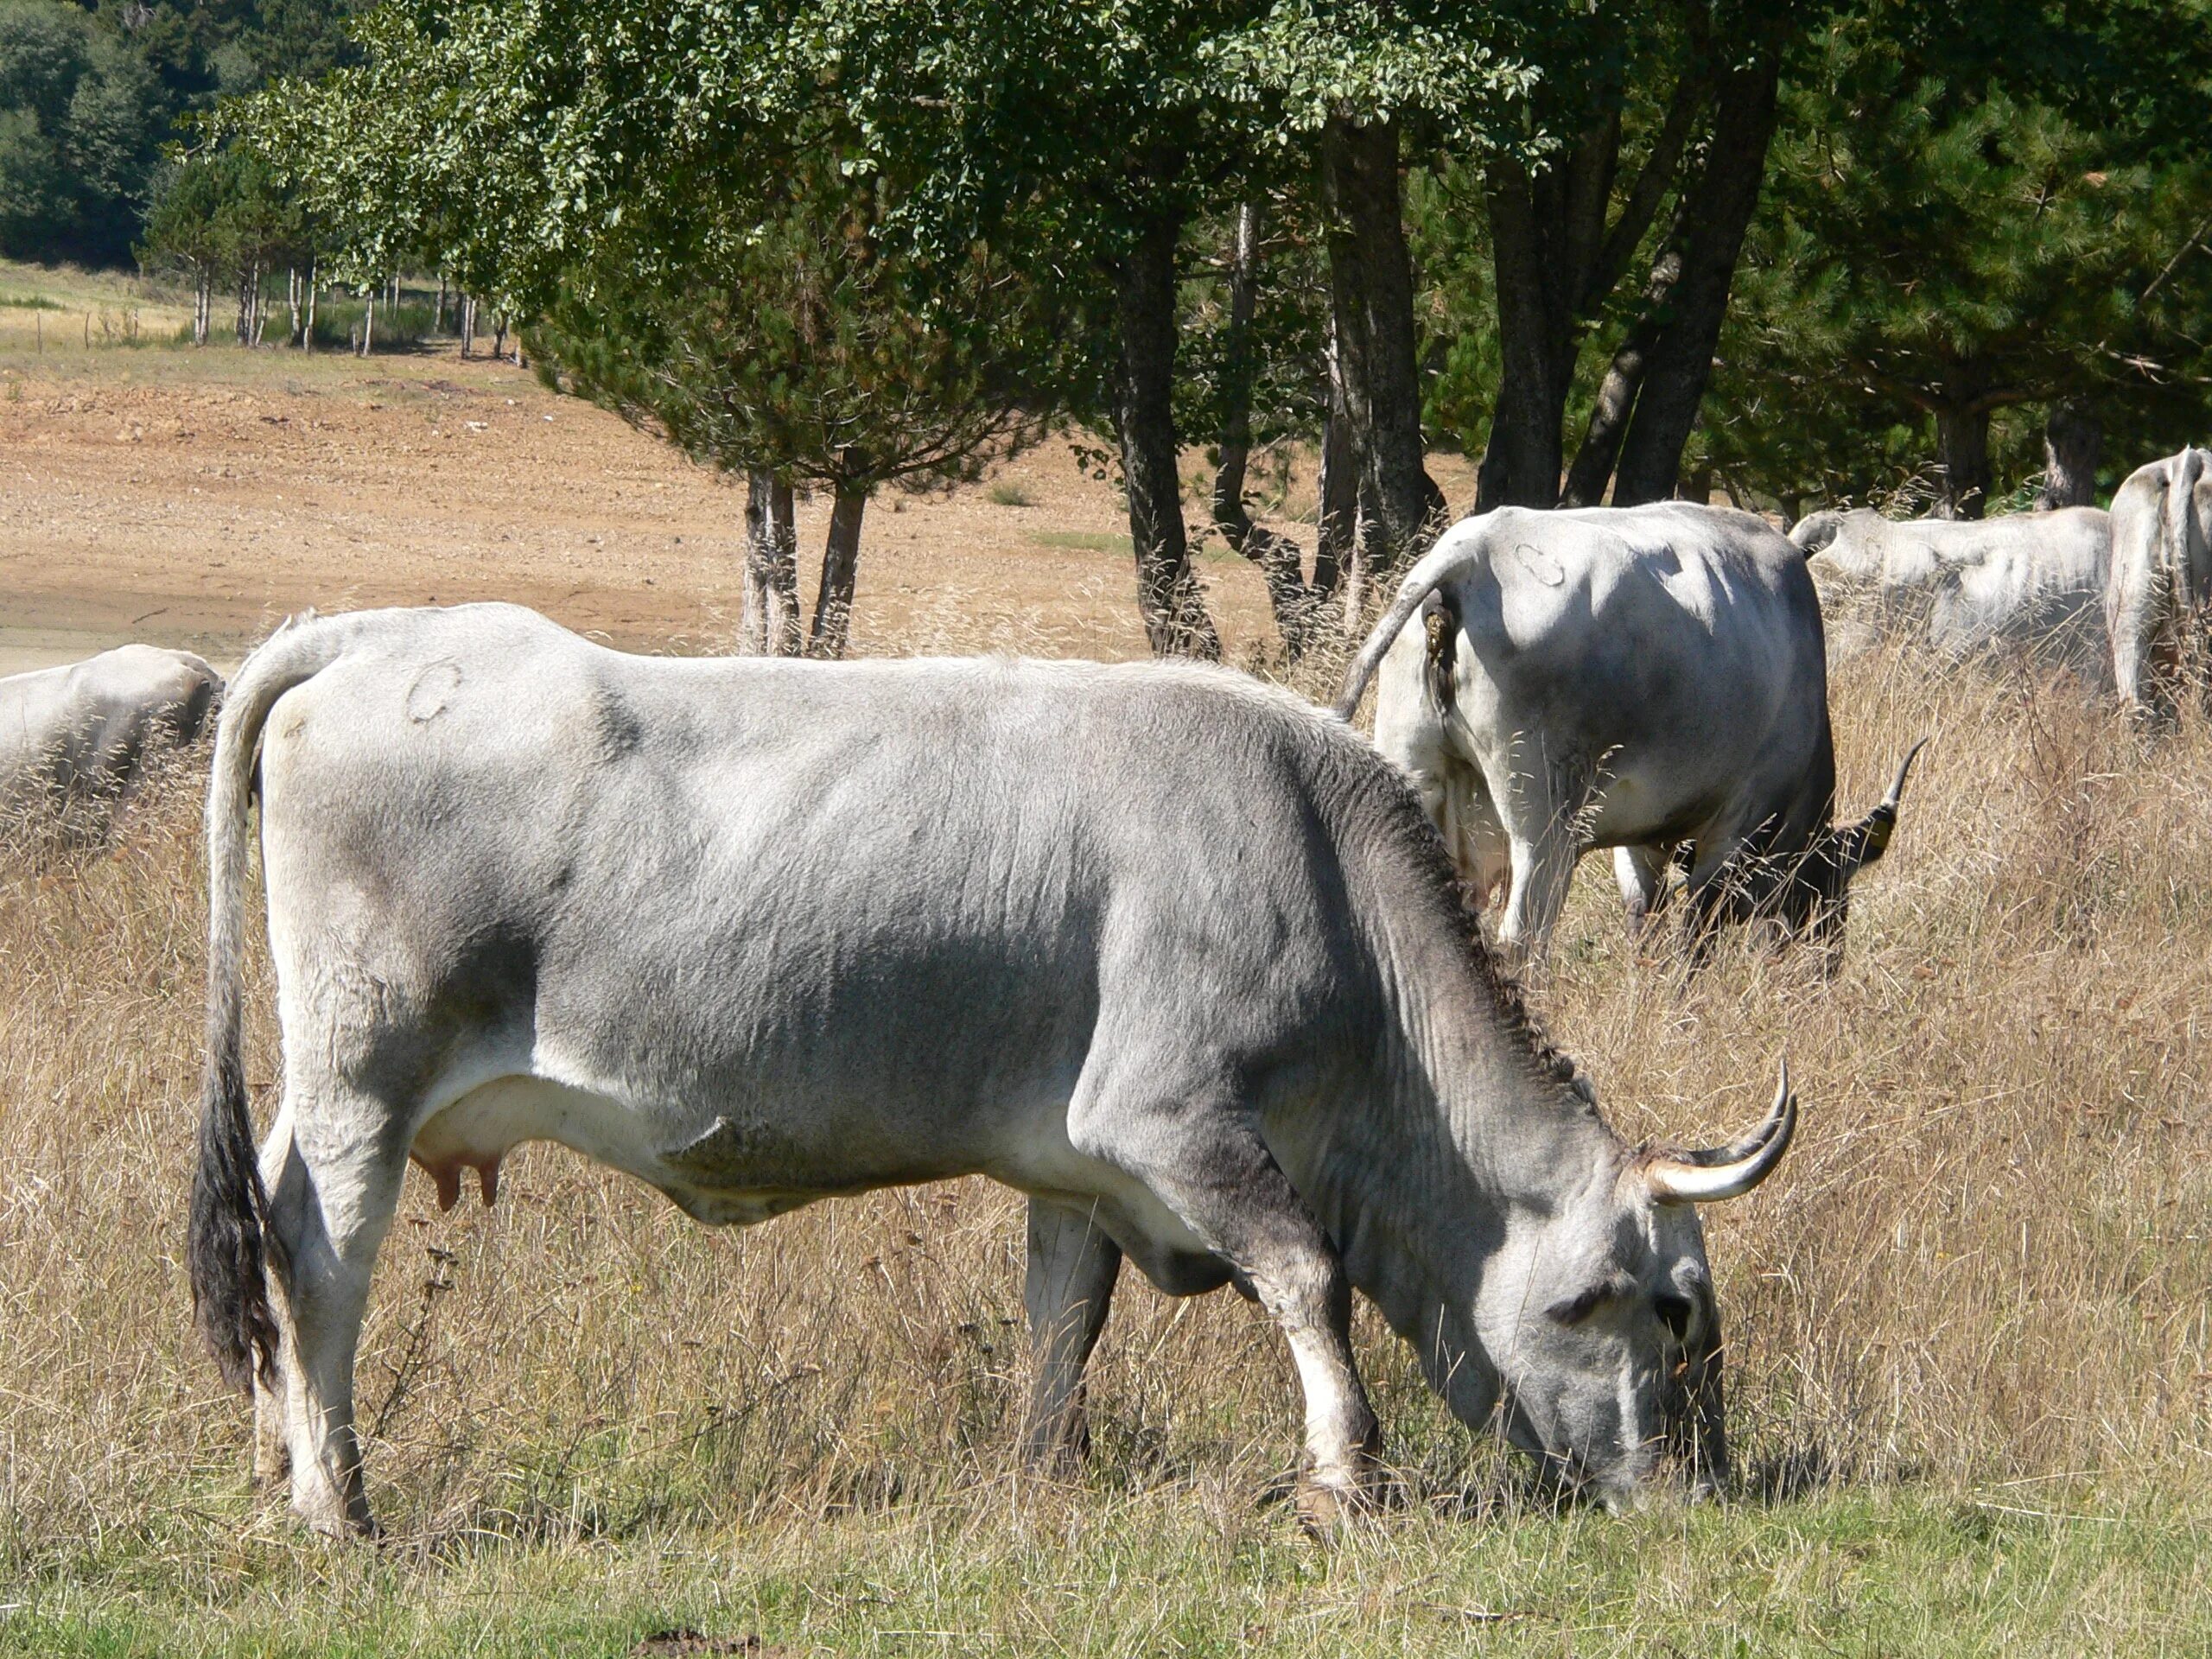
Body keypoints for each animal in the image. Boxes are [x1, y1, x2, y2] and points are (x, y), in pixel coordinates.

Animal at [199, 606, 1804, 1539]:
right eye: (1666, 1305)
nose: (1693, 1490)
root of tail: (372, 635)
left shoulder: (1077, 1165)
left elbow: (1061, 1320)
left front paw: (1045, 1472)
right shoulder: (1174, 1125)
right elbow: (1308, 1282)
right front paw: (1350, 1480)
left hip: (326, 1088)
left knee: (270, 1236)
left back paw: (279, 1465)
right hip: (364, 1081)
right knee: (323, 1259)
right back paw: (338, 1503)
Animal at [1327, 506, 1920, 960]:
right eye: (1827, 894)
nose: (1824, 971)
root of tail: (1473, 553)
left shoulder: (1645, 837)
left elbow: (1644, 921)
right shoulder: (1736, 829)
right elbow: (1695, 940)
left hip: (1415, 769)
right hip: (1544, 829)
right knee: (1523, 938)